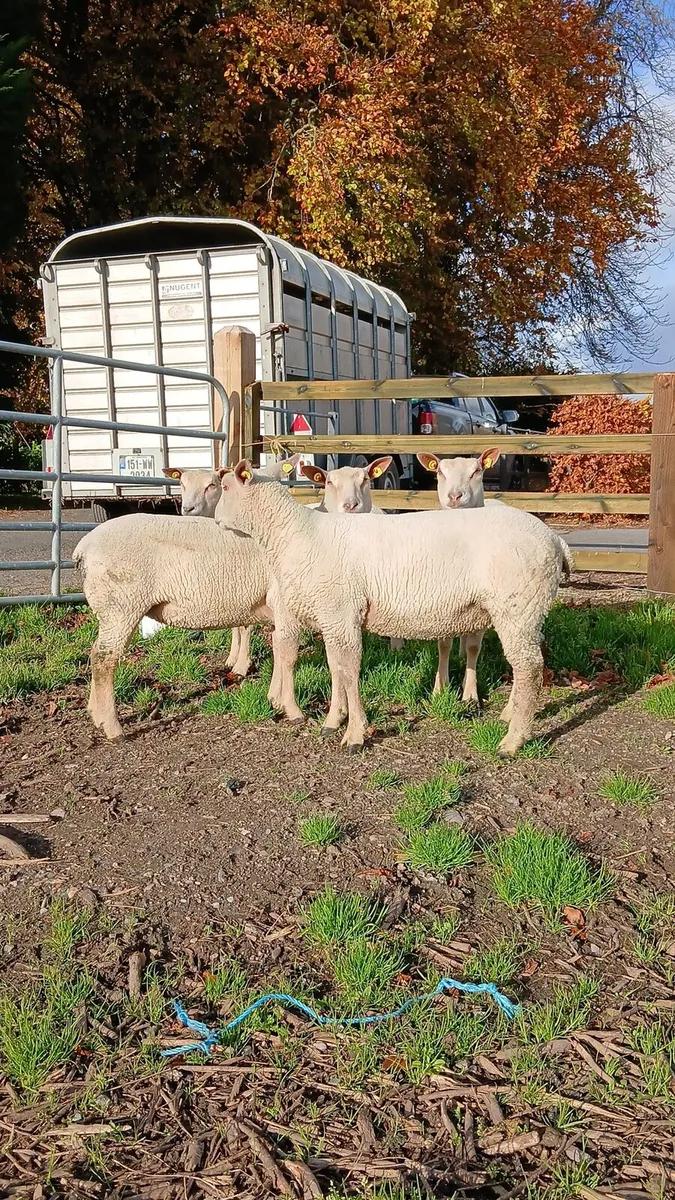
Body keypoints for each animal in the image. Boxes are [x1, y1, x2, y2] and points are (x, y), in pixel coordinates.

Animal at [73, 512, 305, 740]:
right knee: (105, 658)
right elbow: (289, 655)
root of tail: (83, 548)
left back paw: (96, 715)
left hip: (112, 610)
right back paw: (113, 728)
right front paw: (294, 711)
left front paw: (275, 700)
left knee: (96, 652)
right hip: (121, 604)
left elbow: (278, 651)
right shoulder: (285, 605)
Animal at [215, 461, 569, 757]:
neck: (295, 534)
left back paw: (512, 741)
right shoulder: (332, 615)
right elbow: (336, 667)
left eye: (226, 487)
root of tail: (555, 540)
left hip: (517, 604)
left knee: (527, 667)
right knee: (528, 663)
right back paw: (510, 715)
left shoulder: (342, 610)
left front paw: (355, 735)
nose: (215, 518)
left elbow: (349, 670)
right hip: (527, 609)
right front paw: (333, 720)